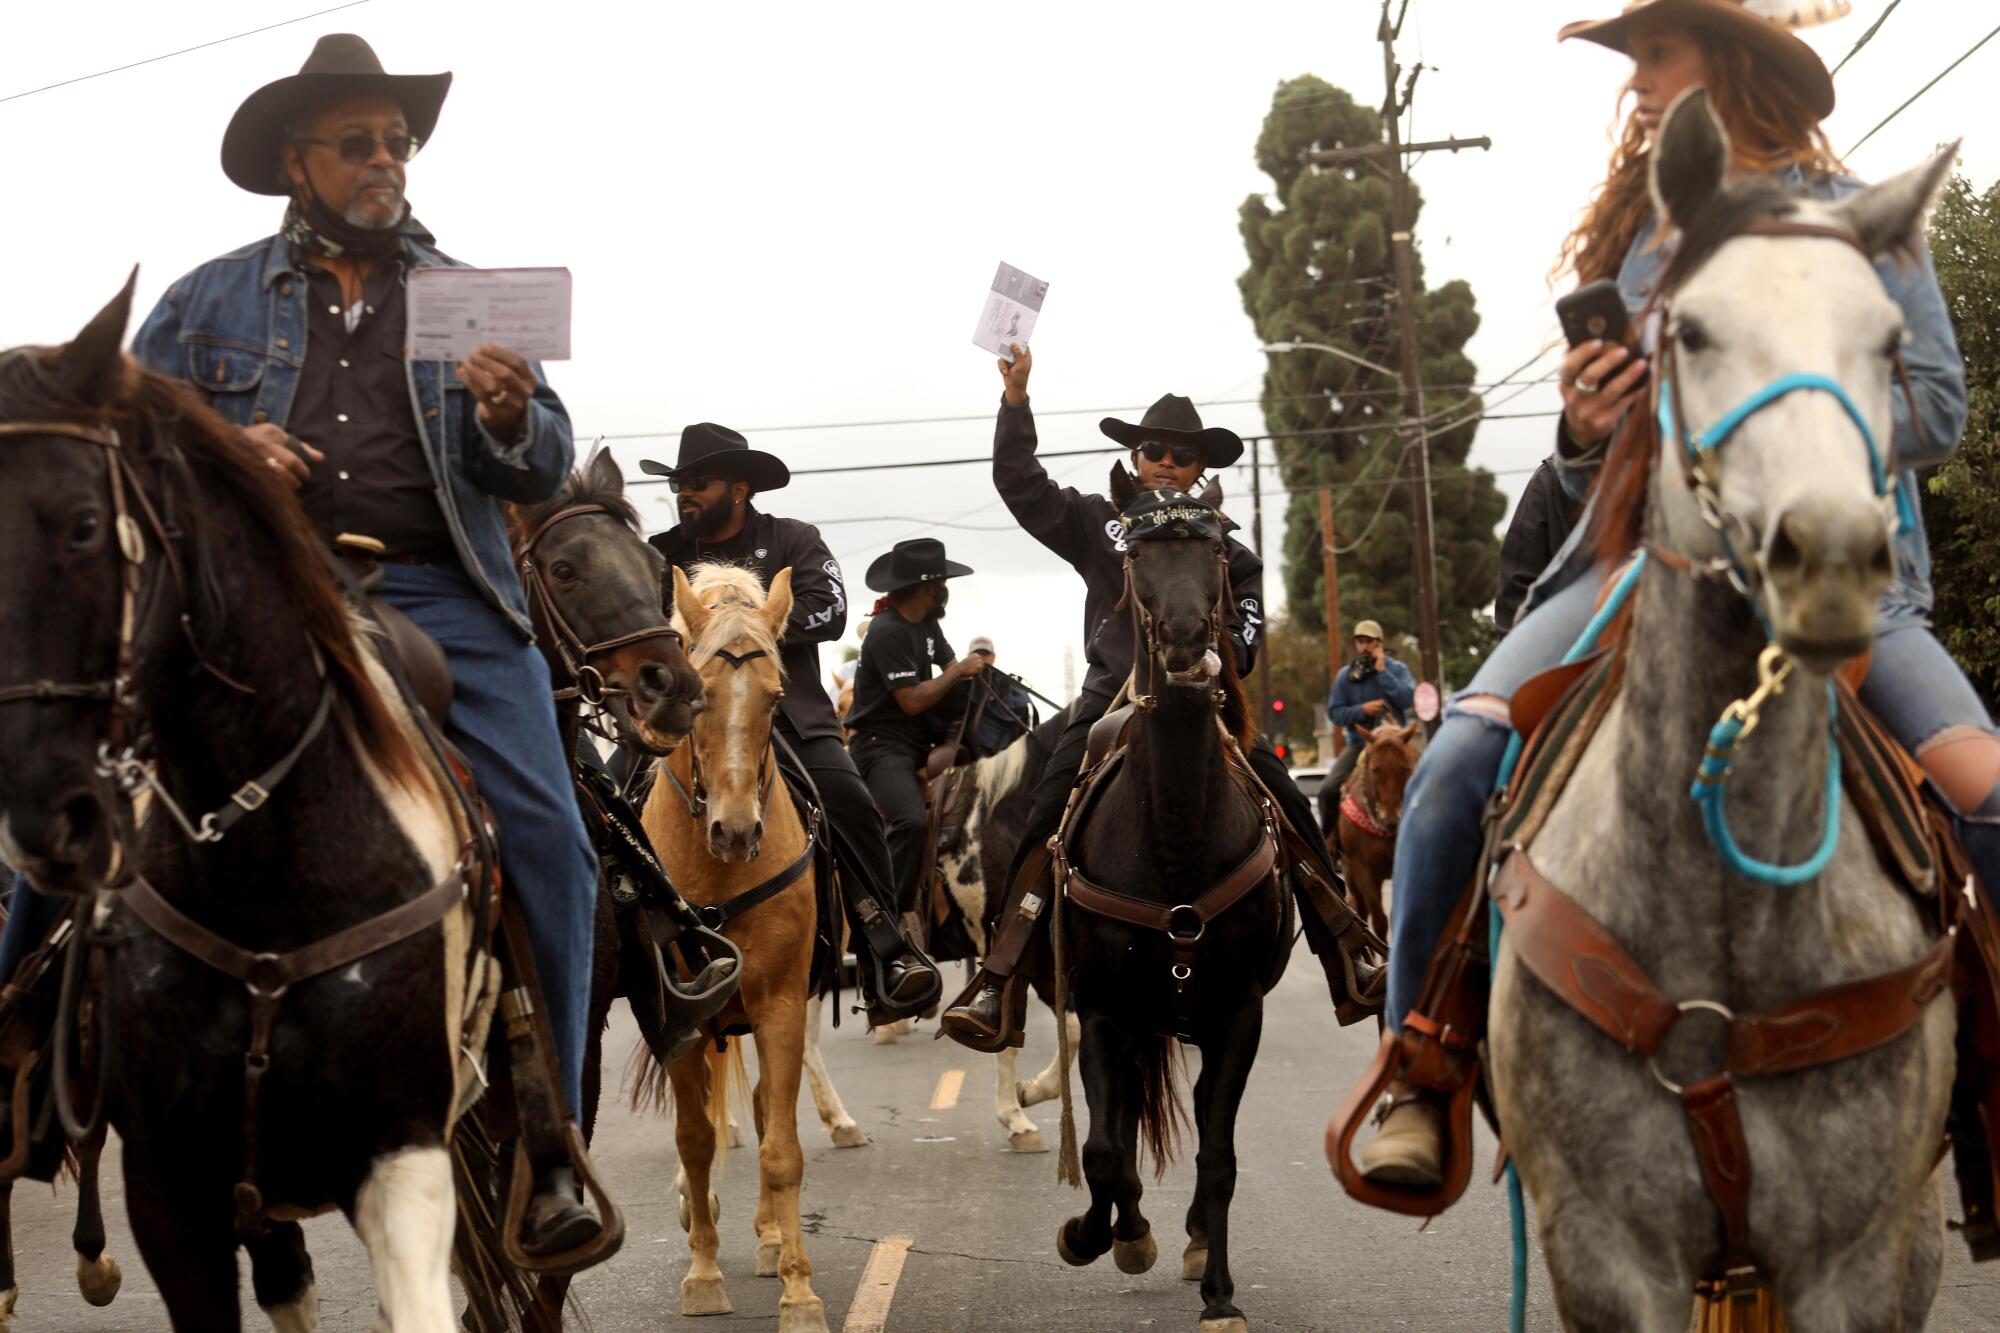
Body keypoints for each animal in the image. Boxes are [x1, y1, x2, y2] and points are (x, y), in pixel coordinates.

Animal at [1056, 520, 1288, 1328]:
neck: (1177, 839)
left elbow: (1217, 1156)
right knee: (1119, 1124)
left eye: (1217, 552)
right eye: (1136, 555)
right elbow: (1102, 1150)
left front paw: (1220, 1294)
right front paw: (1100, 1233)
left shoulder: (1238, 1014)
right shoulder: (1101, 1011)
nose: (1187, 638)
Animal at [1328, 716, 1424, 944]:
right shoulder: (1363, 869)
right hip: (1349, 871)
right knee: (1361, 910)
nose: (1391, 820)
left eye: (1405, 768)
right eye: (1375, 770)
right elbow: (1379, 920)